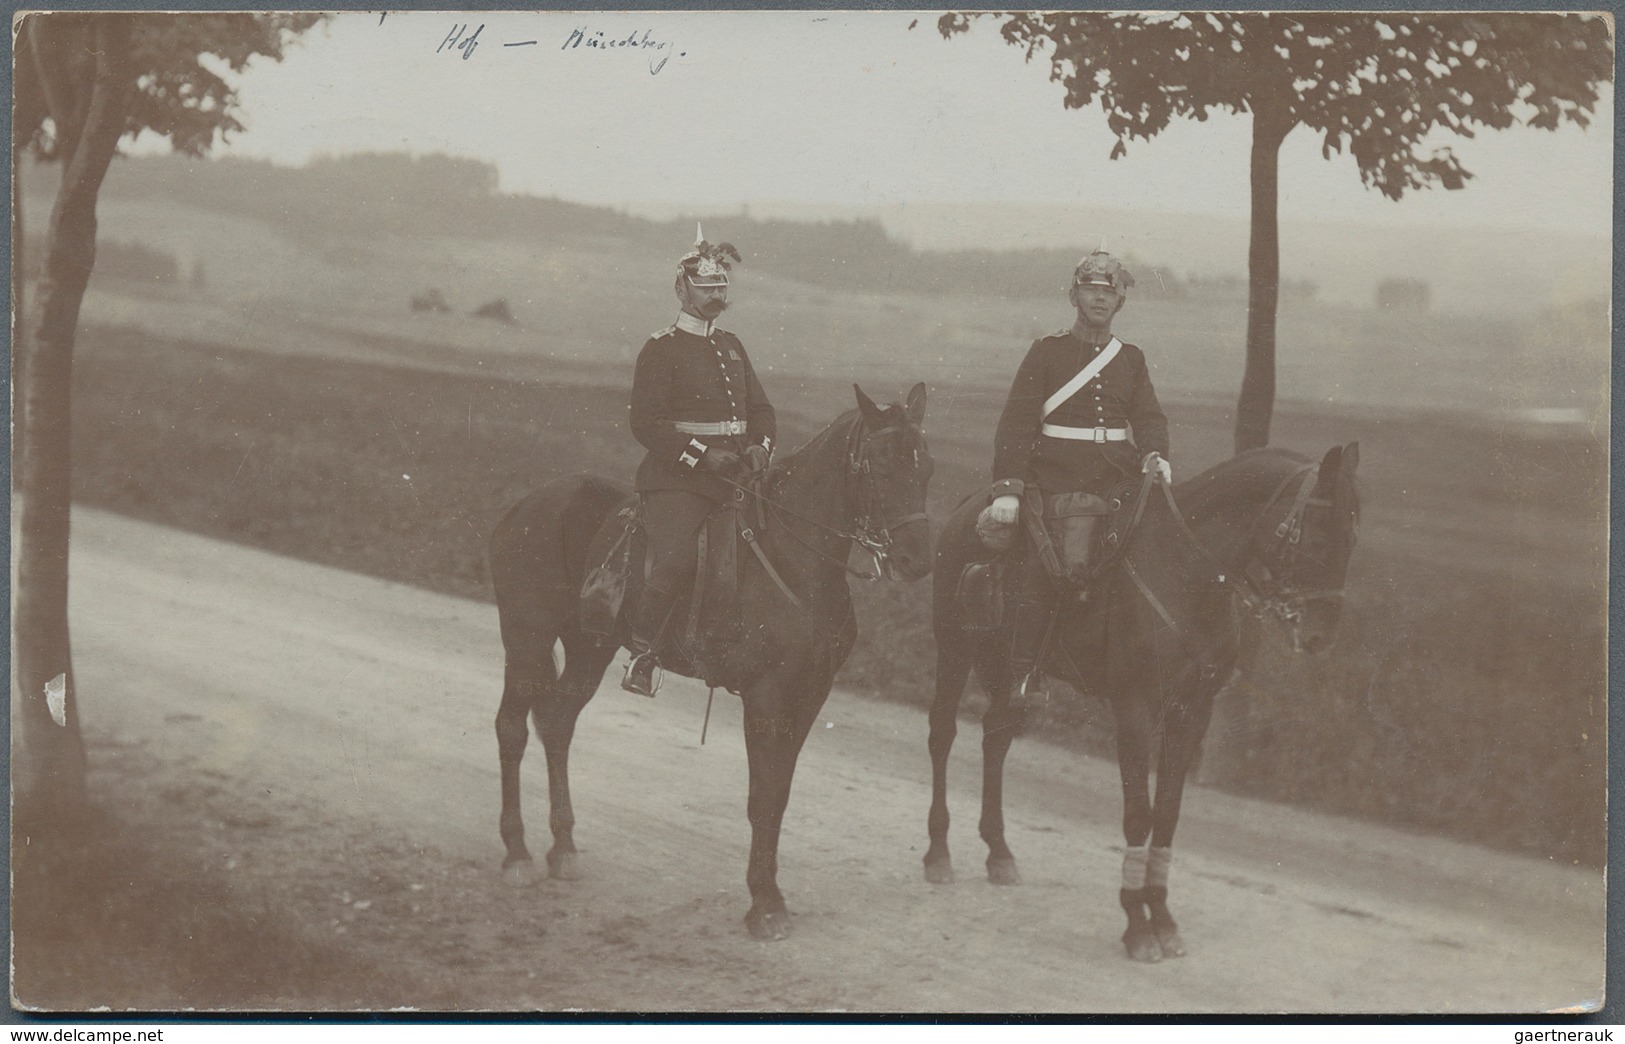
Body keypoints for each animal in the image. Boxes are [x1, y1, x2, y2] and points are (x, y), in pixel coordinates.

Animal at [487, 382, 936, 936]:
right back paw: (517, 854)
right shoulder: (766, 696)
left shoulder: (810, 695)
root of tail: (529, 503)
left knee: (557, 722)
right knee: (512, 729)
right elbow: (762, 797)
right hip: (526, 637)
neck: (792, 558)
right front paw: (764, 902)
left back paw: (564, 847)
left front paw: (770, 894)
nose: (917, 559)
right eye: (880, 466)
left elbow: (779, 795)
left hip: (589, 647)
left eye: (927, 467)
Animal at [929, 442, 1358, 956]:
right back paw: (938, 853)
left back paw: (998, 852)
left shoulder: (1193, 713)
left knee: (995, 740)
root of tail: (966, 506)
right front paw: (1137, 923)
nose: (1320, 637)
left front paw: (1163, 917)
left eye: (1353, 537)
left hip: (1005, 670)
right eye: (1319, 534)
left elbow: (1168, 814)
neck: (1187, 572)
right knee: (942, 736)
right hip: (955, 649)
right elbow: (1139, 813)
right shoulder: (1135, 708)